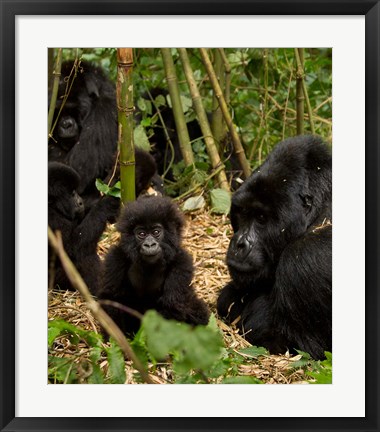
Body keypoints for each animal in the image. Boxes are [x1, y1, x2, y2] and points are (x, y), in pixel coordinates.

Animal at [48, 162, 119, 294]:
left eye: (75, 191)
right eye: (72, 194)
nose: (80, 202)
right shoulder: (52, 220)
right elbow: (75, 247)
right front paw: (107, 203)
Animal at [94, 195, 208, 334]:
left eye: (156, 232)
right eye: (141, 234)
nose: (149, 244)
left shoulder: (182, 262)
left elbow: (172, 304)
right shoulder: (115, 258)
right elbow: (111, 298)